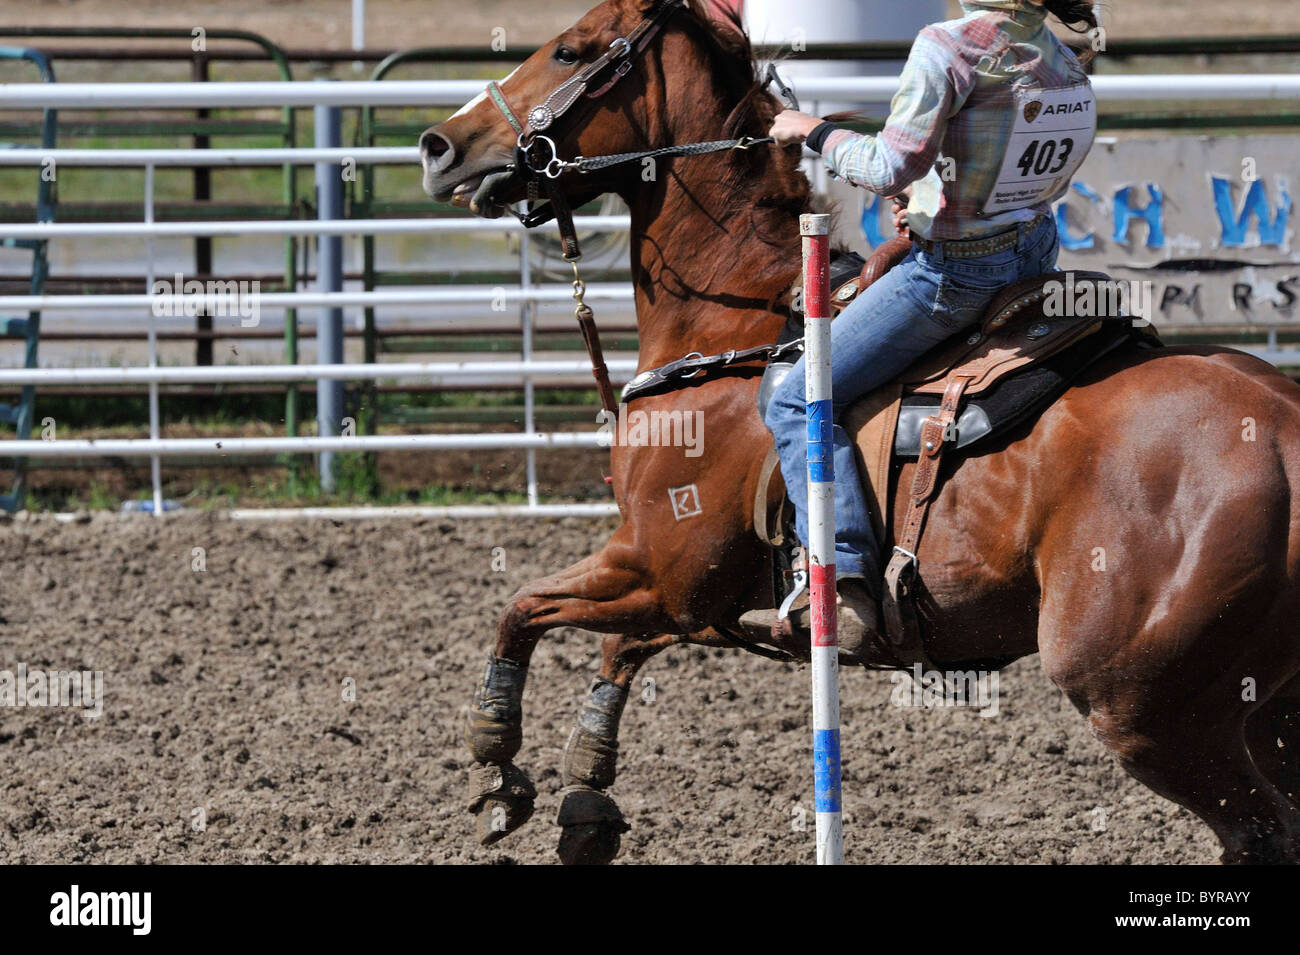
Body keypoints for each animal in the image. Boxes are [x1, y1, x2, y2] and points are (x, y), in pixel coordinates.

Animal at [420, 0, 1300, 864]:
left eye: (569, 50)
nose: (439, 146)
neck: (735, 329)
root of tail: (1283, 432)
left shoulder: (664, 570)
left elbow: (522, 608)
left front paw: (498, 770)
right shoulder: (678, 588)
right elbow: (613, 649)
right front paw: (585, 798)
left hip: (1146, 708)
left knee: (1257, 829)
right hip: (1264, 709)